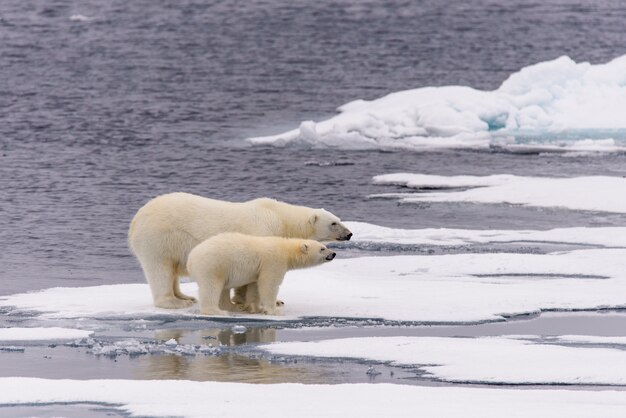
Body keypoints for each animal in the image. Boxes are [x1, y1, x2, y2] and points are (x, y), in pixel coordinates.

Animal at [128, 192, 352, 306]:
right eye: (333, 223)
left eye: (339, 219)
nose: (349, 234)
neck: (279, 217)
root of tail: (135, 220)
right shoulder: (261, 230)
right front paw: (267, 301)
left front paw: (241, 299)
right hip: (159, 238)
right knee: (160, 269)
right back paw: (175, 302)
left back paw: (185, 296)